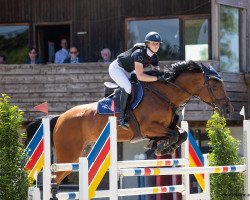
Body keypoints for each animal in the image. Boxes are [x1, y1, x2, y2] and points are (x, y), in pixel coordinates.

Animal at [25, 60, 234, 184]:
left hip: (80, 152)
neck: (165, 95)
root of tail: (60, 117)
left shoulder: (164, 127)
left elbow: (180, 134)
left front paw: (160, 146)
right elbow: (175, 134)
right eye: (215, 85)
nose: (228, 109)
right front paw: (160, 146)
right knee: (54, 178)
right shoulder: (149, 127)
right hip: (68, 153)